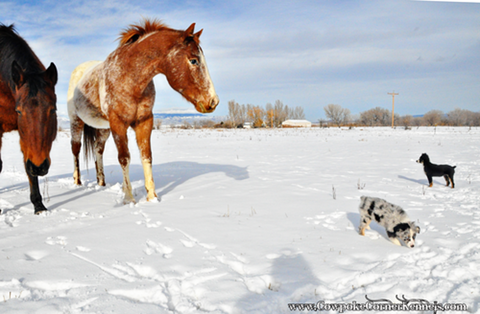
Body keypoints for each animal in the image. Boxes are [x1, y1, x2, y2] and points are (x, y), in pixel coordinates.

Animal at [0, 24, 58, 215]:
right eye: (19, 111)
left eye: (53, 109)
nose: (39, 167)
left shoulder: (24, 136)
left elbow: (27, 166)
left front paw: (38, 205)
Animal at [67, 19, 219, 204]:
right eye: (194, 60)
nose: (213, 101)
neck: (129, 77)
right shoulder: (118, 123)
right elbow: (124, 158)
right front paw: (129, 198)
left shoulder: (144, 121)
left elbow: (146, 156)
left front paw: (152, 198)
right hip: (76, 121)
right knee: (76, 148)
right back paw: (77, 182)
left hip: (103, 128)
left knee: (98, 150)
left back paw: (101, 182)